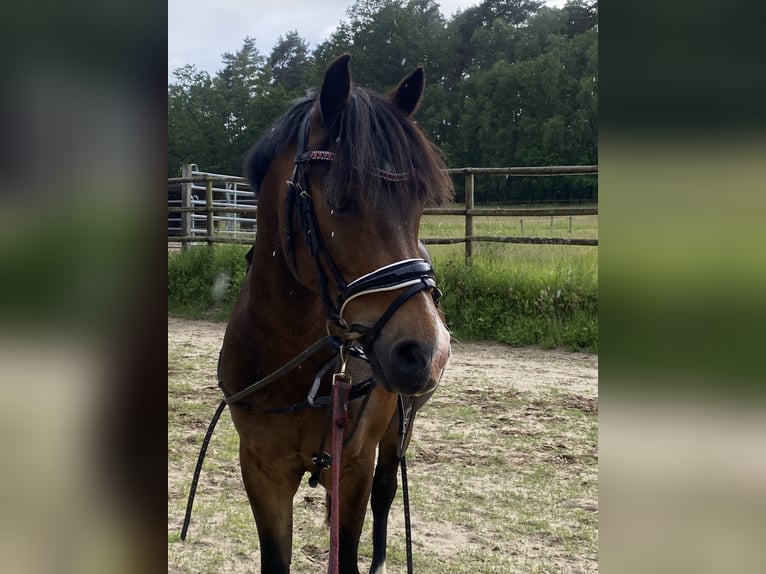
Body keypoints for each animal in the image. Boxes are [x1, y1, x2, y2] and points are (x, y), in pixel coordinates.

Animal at [218, 53, 454, 574]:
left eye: (419, 204)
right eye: (340, 200)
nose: (427, 351)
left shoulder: (355, 465)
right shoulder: (262, 470)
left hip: (398, 432)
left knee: (386, 494)